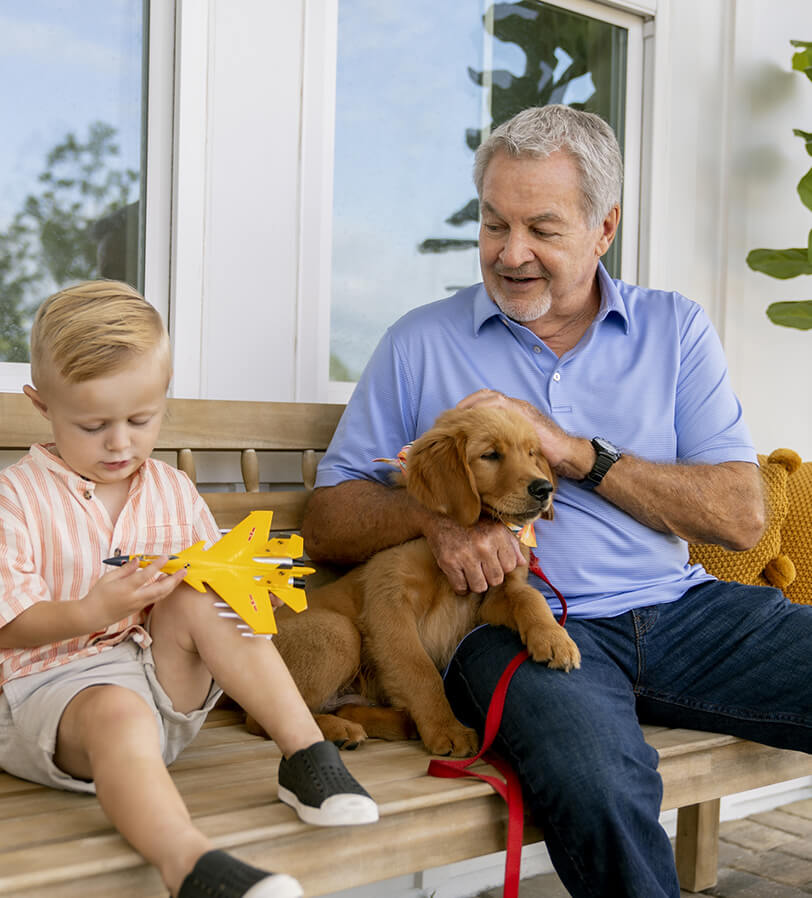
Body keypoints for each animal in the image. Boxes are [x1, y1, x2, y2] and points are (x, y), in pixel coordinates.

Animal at [270, 406, 580, 756]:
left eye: (531, 453)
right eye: (490, 455)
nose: (544, 489)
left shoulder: (494, 595)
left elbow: (530, 598)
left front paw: (555, 639)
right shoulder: (391, 605)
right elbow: (419, 671)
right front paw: (447, 730)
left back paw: (394, 723)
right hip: (336, 631)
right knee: (276, 717)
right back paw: (339, 731)